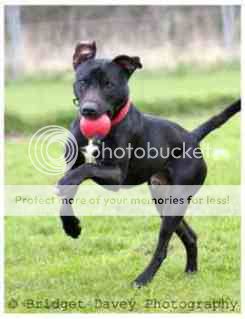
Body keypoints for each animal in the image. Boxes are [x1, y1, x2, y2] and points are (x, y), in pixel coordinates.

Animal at [56, 41, 241, 288]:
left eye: (109, 85)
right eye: (83, 81)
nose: (89, 110)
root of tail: (192, 137)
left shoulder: (115, 176)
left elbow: (84, 170)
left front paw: (65, 188)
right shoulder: (74, 163)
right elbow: (70, 189)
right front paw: (71, 226)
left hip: (177, 199)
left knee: (162, 248)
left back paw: (143, 279)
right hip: (162, 197)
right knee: (190, 235)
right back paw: (191, 271)